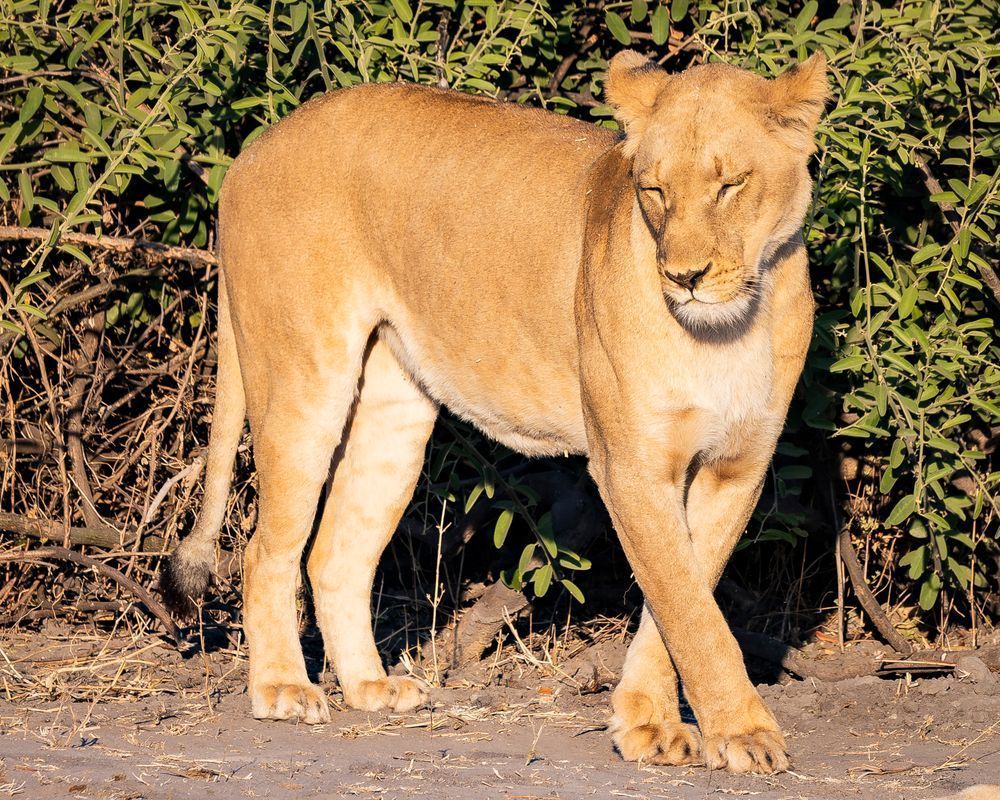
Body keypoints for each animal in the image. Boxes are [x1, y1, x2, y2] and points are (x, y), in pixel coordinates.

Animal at [162, 49, 828, 774]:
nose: (684, 277)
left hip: (394, 409)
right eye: (653, 191)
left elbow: (682, 599)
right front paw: (742, 732)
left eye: (731, 184)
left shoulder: (737, 468)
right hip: (303, 377)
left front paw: (648, 723)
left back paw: (369, 688)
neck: (734, 329)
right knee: (266, 550)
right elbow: (692, 613)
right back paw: (283, 688)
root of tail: (253, 148)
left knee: (336, 551)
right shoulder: (631, 466)